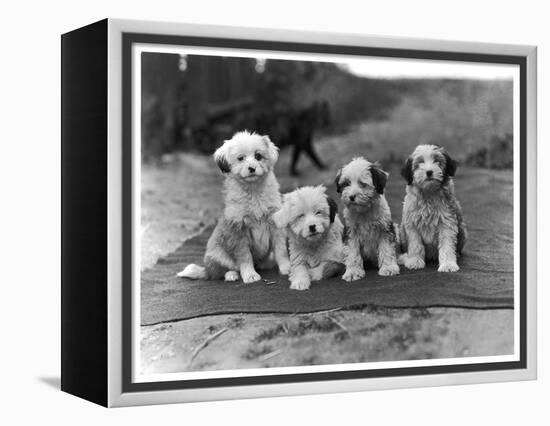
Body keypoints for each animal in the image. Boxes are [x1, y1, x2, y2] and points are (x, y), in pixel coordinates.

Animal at [178, 130, 292, 282]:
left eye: (258, 156)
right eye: (240, 158)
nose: (252, 168)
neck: (253, 191)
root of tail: (206, 269)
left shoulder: (275, 223)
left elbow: (281, 249)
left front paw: (286, 268)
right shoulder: (238, 229)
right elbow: (245, 257)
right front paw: (250, 275)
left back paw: (266, 264)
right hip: (217, 255)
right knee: (219, 272)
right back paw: (231, 275)